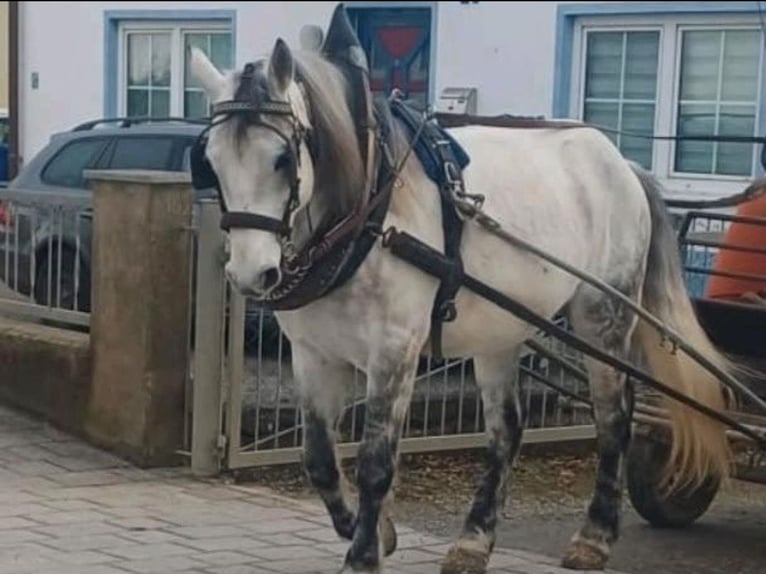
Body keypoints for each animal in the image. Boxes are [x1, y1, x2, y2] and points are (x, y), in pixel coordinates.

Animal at [188, 5, 736, 573]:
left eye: (282, 157)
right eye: (209, 159)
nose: (250, 275)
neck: (369, 207)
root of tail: (622, 163)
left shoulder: (395, 351)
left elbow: (375, 461)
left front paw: (363, 553)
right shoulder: (312, 352)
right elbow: (318, 458)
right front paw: (376, 530)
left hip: (603, 313)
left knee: (614, 418)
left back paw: (595, 535)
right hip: (502, 326)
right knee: (506, 429)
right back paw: (475, 538)